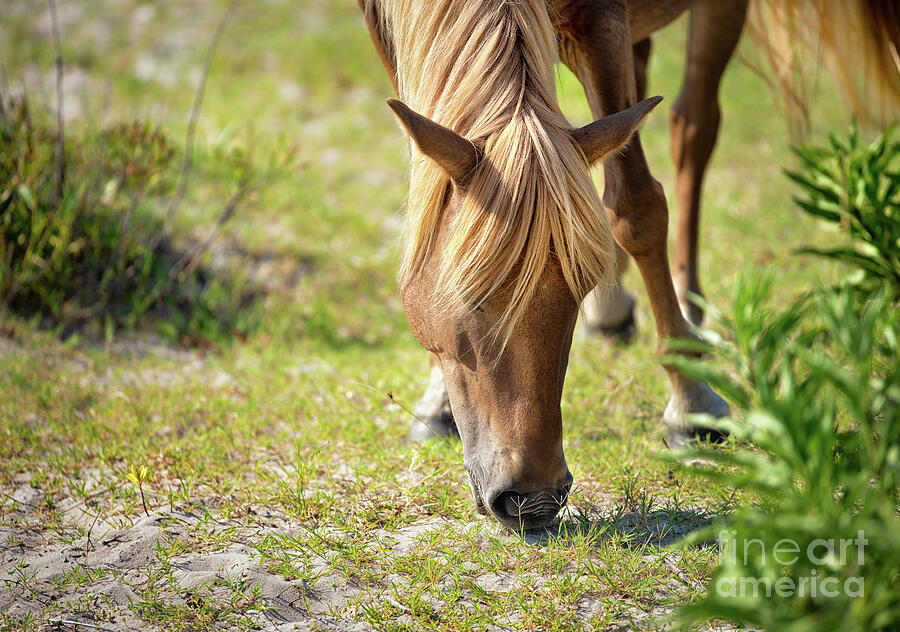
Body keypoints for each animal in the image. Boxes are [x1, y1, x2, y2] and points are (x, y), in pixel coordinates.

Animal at [357, 0, 900, 531]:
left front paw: (690, 403)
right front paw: (436, 401)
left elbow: (636, 207)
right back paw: (616, 314)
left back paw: (689, 317)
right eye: (468, 296)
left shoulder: (600, 20)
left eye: (577, 292)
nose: (534, 500)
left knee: (692, 126)